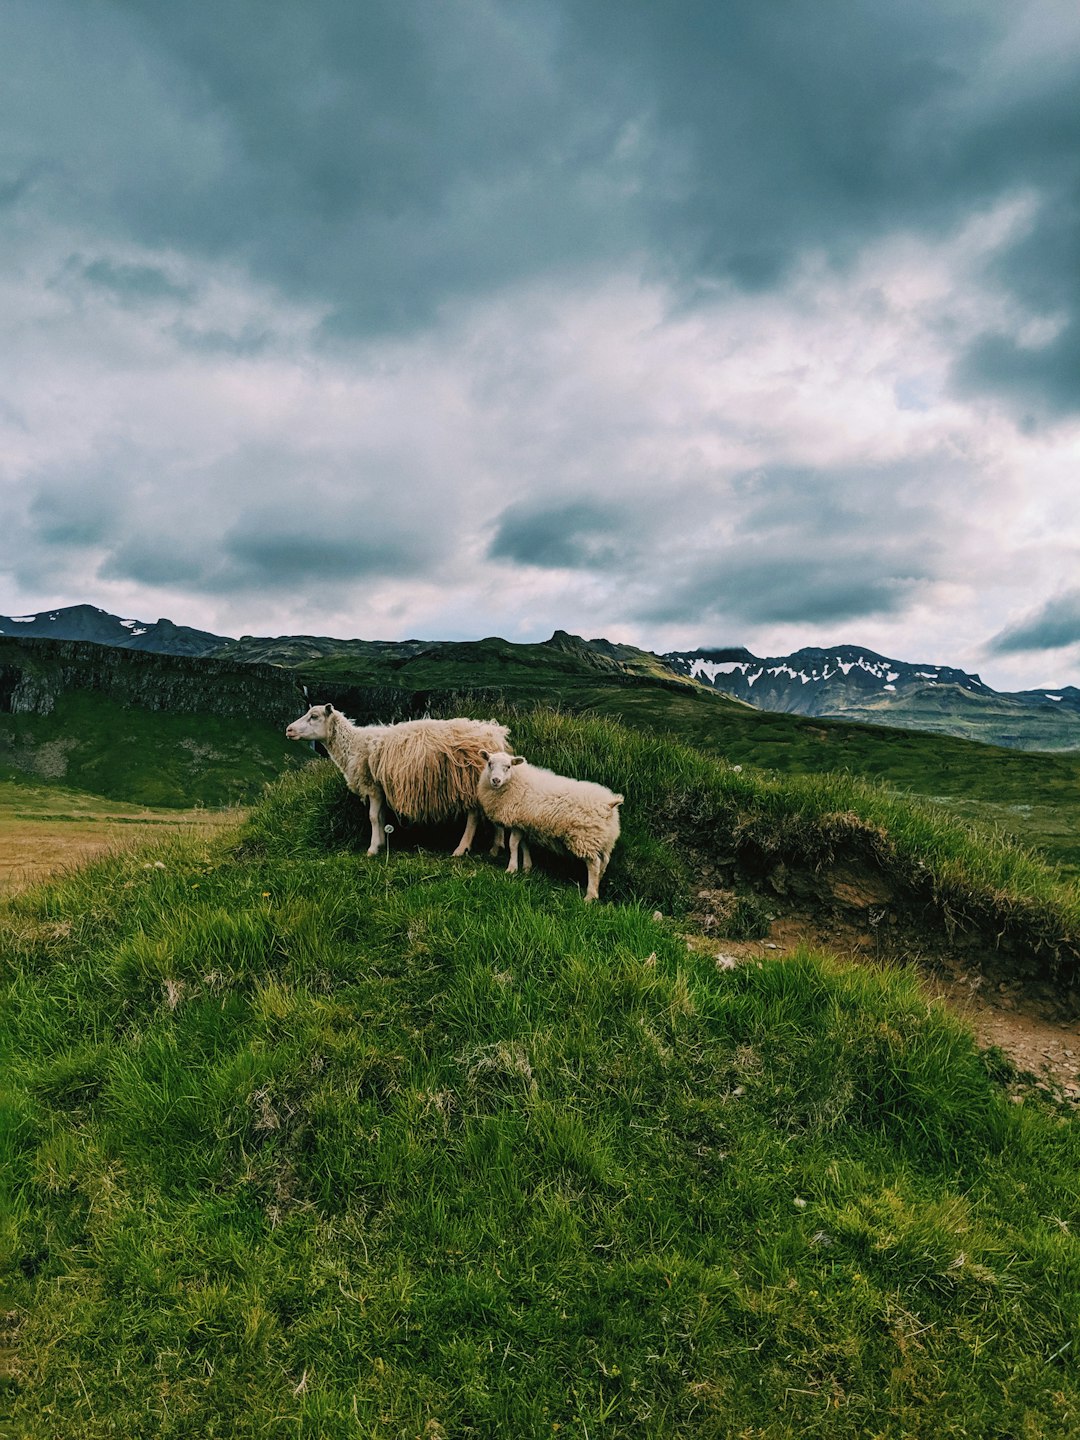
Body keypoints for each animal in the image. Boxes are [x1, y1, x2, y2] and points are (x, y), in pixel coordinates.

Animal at [285, 705, 509, 852]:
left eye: (314, 716)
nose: (288, 729)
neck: (353, 744)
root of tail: (494, 734)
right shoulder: (381, 787)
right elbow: (381, 816)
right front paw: (382, 843)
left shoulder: (371, 785)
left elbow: (373, 817)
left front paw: (372, 849)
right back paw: (496, 847)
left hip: (468, 780)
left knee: (473, 816)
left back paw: (461, 849)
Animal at [475, 754, 622, 898]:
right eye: (489, 763)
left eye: (508, 766)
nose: (496, 780)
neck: (517, 780)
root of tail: (608, 804)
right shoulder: (524, 823)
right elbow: (524, 844)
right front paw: (527, 867)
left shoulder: (516, 821)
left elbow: (513, 844)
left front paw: (512, 869)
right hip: (604, 840)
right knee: (604, 862)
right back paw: (597, 884)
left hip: (585, 838)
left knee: (594, 864)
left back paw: (590, 896)